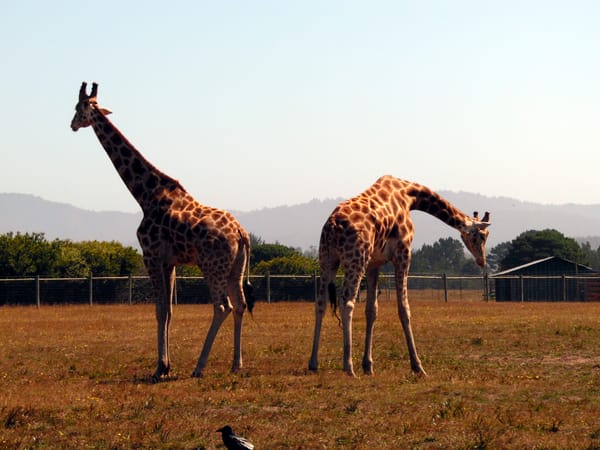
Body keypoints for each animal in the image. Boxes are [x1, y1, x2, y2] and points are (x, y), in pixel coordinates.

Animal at [70, 82, 253, 382]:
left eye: (78, 107)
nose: (72, 124)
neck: (145, 195)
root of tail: (241, 233)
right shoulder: (170, 262)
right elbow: (168, 311)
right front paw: (166, 365)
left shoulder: (151, 255)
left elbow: (158, 310)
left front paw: (160, 368)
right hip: (235, 267)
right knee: (239, 304)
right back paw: (236, 364)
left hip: (212, 265)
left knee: (222, 306)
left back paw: (199, 366)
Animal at [310, 175, 492, 376]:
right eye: (482, 235)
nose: (482, 260)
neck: (410, 195)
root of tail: (332, 227)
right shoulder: (403, 254)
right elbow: (404, 308)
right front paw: (418, 366)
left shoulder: (374, 263)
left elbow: (371, 310)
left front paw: (368, 365)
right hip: (355, 259)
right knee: (346, 301)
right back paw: (348, 367)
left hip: (327, 259)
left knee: (321, 302)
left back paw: (313, 363)